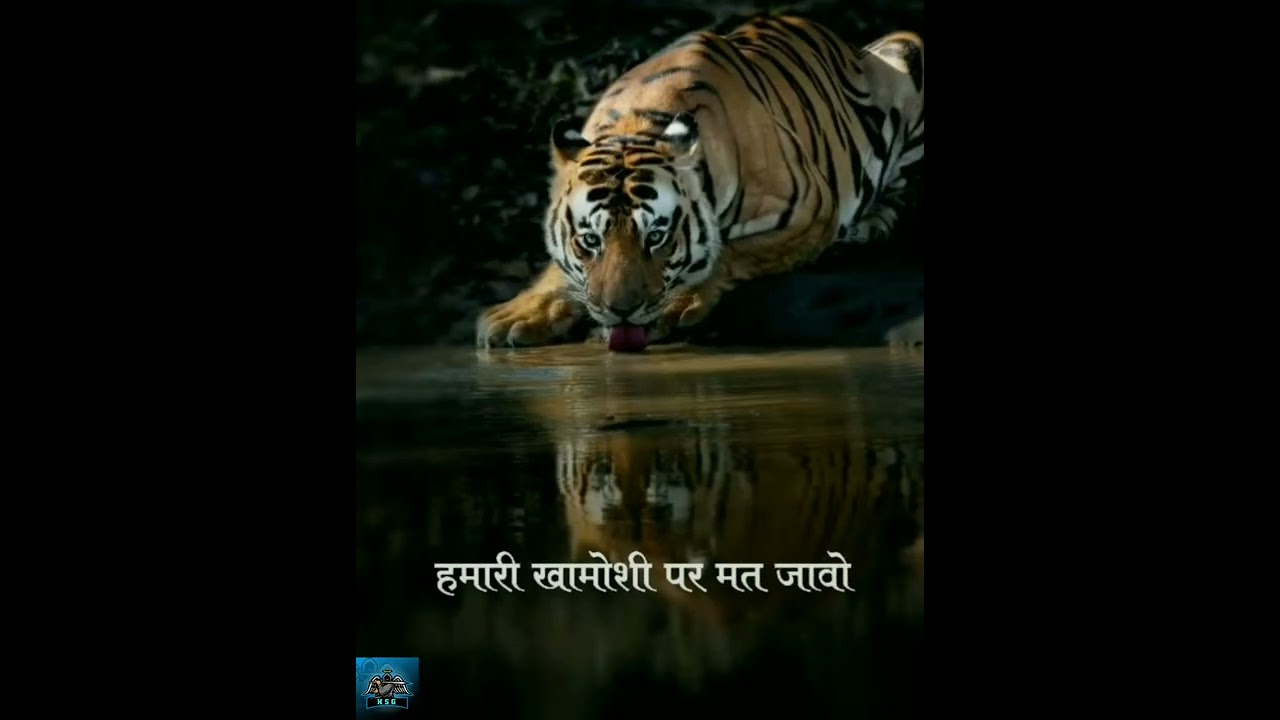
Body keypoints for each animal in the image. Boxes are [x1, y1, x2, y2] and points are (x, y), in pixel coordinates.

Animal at [476, 15, 925, 350]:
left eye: (656, 237)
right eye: (590, 240)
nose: (620, 312)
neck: (638, 124)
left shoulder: (811, 211)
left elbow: (731, 252)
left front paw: (680, 303)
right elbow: (557, 270)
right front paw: (518, 314)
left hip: (907, 48)